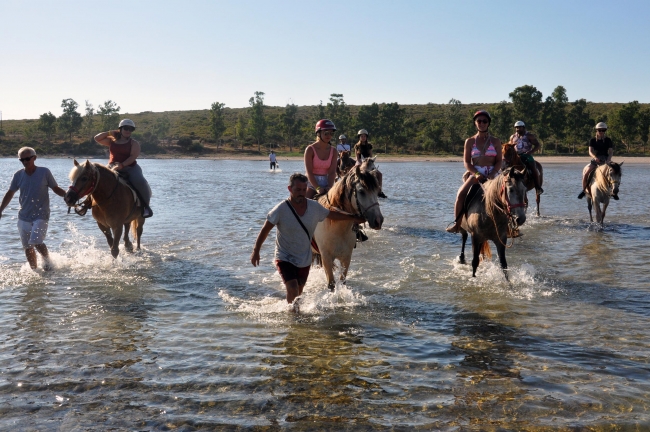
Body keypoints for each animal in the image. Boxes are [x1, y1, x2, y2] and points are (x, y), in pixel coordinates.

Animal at [312, 160, 382, 292]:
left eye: (377, 191)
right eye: (361, 191)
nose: (378, 221)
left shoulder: (346, 258)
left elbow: (342, 282)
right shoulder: (326, 258)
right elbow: (331, 285)